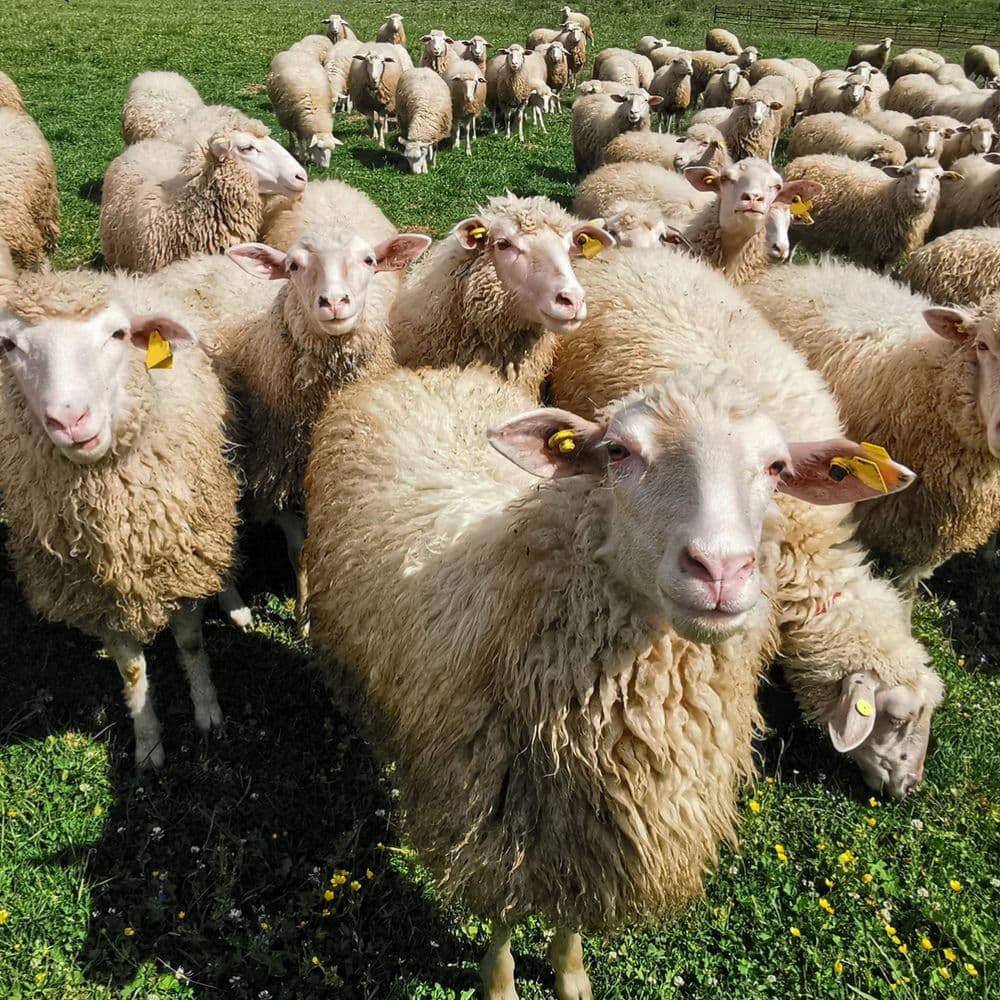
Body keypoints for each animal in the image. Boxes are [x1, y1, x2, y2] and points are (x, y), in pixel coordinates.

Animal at [0, 269, 242, 767]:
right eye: (9, 345)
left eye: (116, 335)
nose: (70, 419)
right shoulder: (98, 597)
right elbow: (131, 671)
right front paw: (148, 744)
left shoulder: (178, 563)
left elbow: (190, 644)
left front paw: (208, 713)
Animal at [782, 154, 955, 271]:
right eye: (907, 173)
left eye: (937, 177)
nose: (920, 192)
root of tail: (800, 161)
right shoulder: (865, 250)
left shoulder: (891, 256)